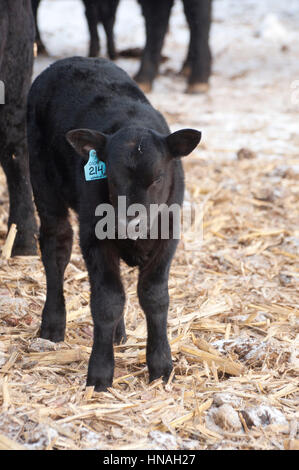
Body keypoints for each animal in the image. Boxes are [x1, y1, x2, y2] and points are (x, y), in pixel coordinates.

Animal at [28, 57, 202, 392]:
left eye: (158, 177)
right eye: (111, 176)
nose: (129, 220)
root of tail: (70, 60)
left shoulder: (168, 235)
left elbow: (154, 296)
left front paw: (161, 366)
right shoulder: (94, 236)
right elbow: (107, 300)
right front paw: (99, 373)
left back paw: (119, 335)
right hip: (44, 184)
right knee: (56, 248)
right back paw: (53, 324)